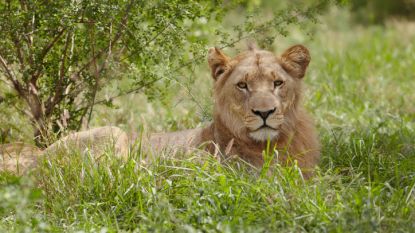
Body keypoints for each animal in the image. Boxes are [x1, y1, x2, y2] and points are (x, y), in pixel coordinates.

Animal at [0, 44, 320, 177]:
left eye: (277, 83)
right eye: (242, 85)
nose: (264, 113)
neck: (272, 145)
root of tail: (33, 162)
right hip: (114, 134)